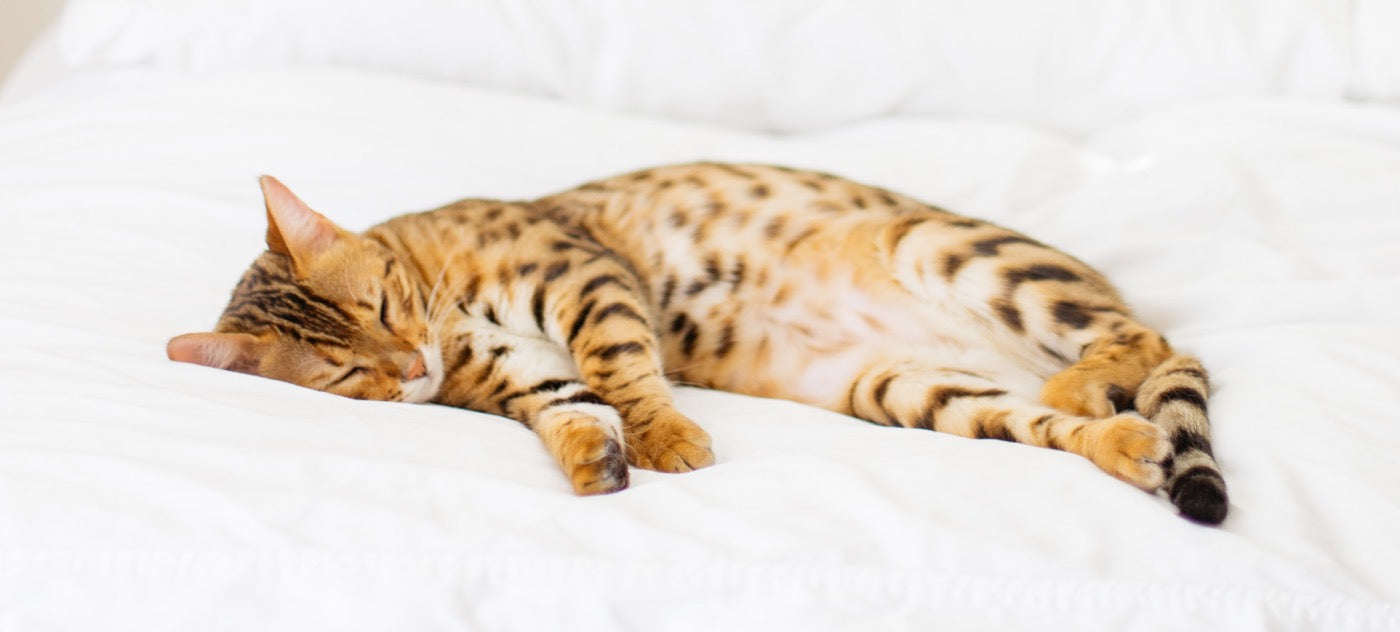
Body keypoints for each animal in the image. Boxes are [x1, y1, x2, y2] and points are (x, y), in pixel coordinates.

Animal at [169, 161, 1232, 524]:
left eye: (386, 304)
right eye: (352, 373)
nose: (415, 366)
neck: (449, 306)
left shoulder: (582, 275)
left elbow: (618, 365)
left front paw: (666, 435)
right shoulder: (518, 374)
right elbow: (570, 408)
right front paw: (598, 458)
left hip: (958, 253)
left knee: (1146, 341)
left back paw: (1087, 386)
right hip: (905, 387)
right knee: (1062, 415)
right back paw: (1117, 437)